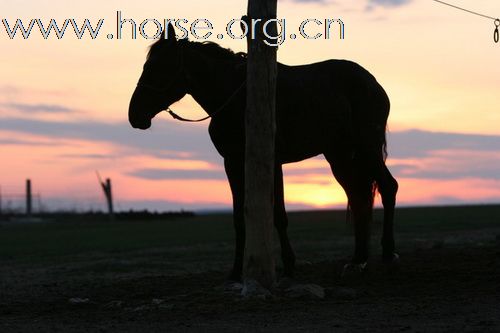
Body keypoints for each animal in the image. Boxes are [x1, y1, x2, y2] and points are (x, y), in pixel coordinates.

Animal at [129, 24, 398, 280]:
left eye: (158, 66)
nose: (134, 115)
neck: (237, 98)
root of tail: (373, 83)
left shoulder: (273, 162)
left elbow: (279, 215)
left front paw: (289, 266)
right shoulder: (233, 163)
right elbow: (239, 219)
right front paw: (236, 272)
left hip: (367, 146)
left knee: (387, 187)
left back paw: (387, 254)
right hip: (340, 156)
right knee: (359, 197)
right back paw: (358, 260)